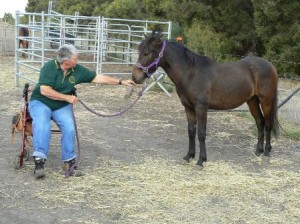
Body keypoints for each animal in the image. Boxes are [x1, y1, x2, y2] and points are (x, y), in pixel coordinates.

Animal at [132, 31, 280, 168]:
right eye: (139, 51)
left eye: (147, 53)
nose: (135, 77)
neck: (191, 74)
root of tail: (270, 66)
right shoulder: (188, 107)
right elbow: (191, 131)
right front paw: (189, 156)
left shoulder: (201, 108)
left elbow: (201, 133)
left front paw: (201, 160)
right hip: (252, 101)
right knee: (260, 123)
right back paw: (258, 151)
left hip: (266, 101)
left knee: (267, 124)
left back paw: (267, 152)